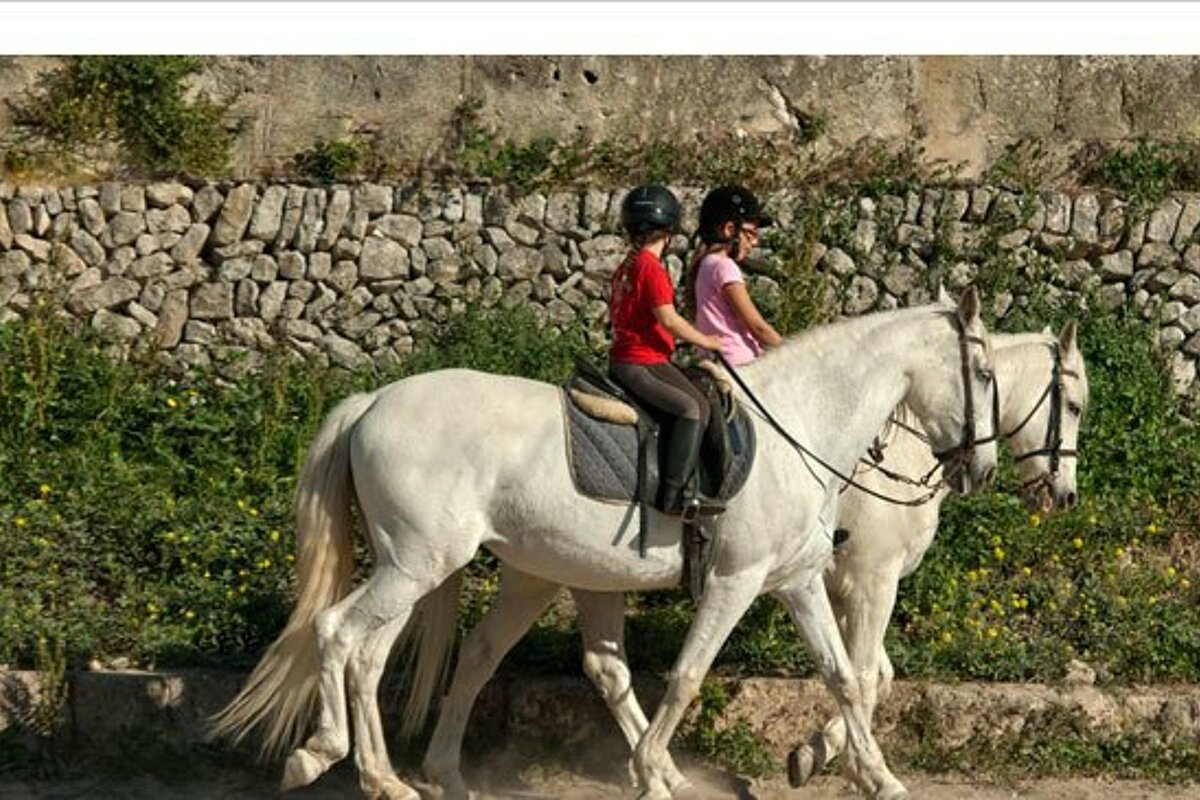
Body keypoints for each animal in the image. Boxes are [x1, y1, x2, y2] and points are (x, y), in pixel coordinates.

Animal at [209, 288, 999, 800]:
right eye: (985, 373)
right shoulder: (736, 579)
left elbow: (843, 678)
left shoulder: (798, 581)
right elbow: (688, 674)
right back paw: (331, 759)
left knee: (376, 655)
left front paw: (879, 778)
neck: (797, 426)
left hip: (427, 565)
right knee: (338, 633)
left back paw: (405, 778)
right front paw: (650, 772)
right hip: (417, 562)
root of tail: (372, 401)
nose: (981, 469)